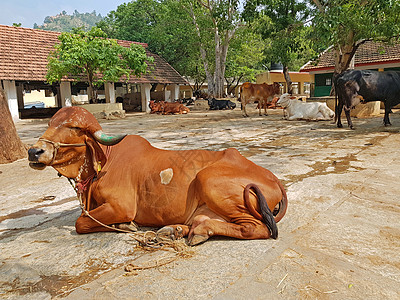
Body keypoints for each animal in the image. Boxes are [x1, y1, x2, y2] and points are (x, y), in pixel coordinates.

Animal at [28, 106, 288, 245]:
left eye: (73, 127)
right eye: (50, 122)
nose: (34, 151)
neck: (104, 161)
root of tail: (275, 179)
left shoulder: (121, 206)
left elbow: (81, 222)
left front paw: (125, 225)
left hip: (210, 181)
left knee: (257, 229)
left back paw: (194, 232)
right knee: (203, 221)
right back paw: (177, 230)